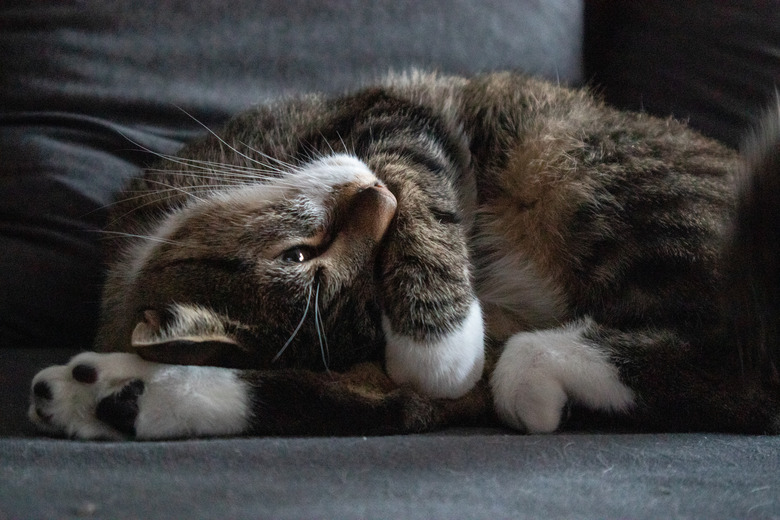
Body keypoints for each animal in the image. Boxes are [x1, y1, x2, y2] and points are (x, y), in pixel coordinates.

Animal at [25, 71, 780, 438]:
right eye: (300, 255)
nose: (374, 195)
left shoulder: (392, 110)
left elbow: (418, 171)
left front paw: (438, 345)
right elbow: (365, 399)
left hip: (574, 157)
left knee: (743, 369)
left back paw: (538, 368)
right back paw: (110, 396)